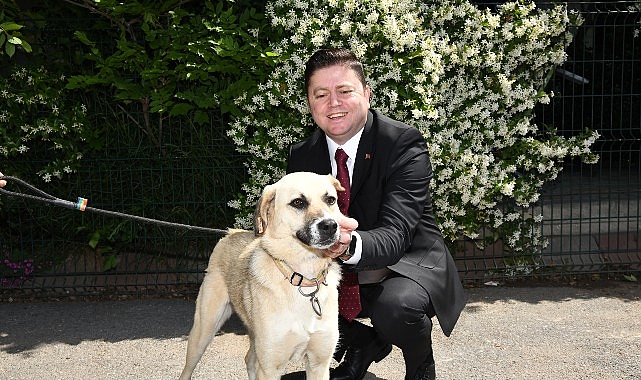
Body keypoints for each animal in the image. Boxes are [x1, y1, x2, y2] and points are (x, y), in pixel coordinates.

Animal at [178, 173, 348, 380]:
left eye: (330, 200)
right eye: (298, 202)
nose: (330, 226)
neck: (302, 277)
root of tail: (230, 233)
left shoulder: (319, 365)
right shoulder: (270, 368)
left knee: (249, 359)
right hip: (203, 331)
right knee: (188, 368)